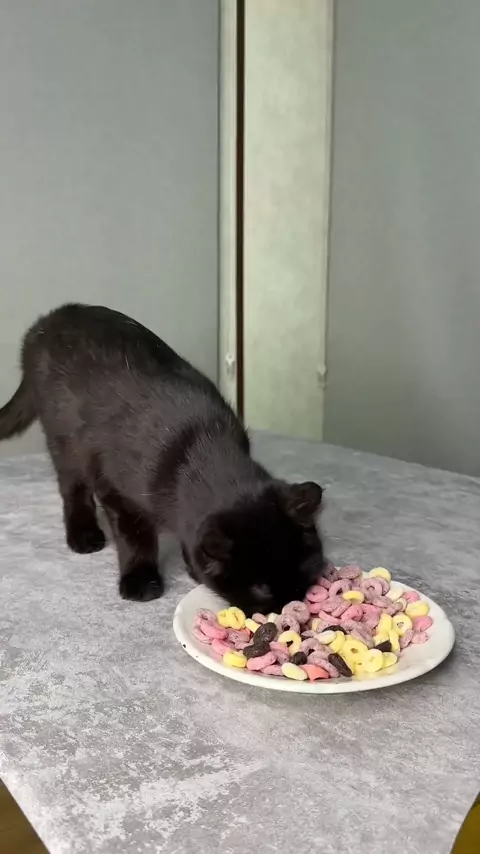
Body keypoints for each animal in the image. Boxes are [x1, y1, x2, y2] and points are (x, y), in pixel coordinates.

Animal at [0, 304, 325, 613]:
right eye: (261, 588)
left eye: (305, 569)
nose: (289, 605)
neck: (199, 444)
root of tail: (46, 322)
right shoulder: (116, 492)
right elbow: (135, 536)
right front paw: (140, 580)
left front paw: (192, 565)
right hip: (64, 440)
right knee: (72, 488)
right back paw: (83, 535)